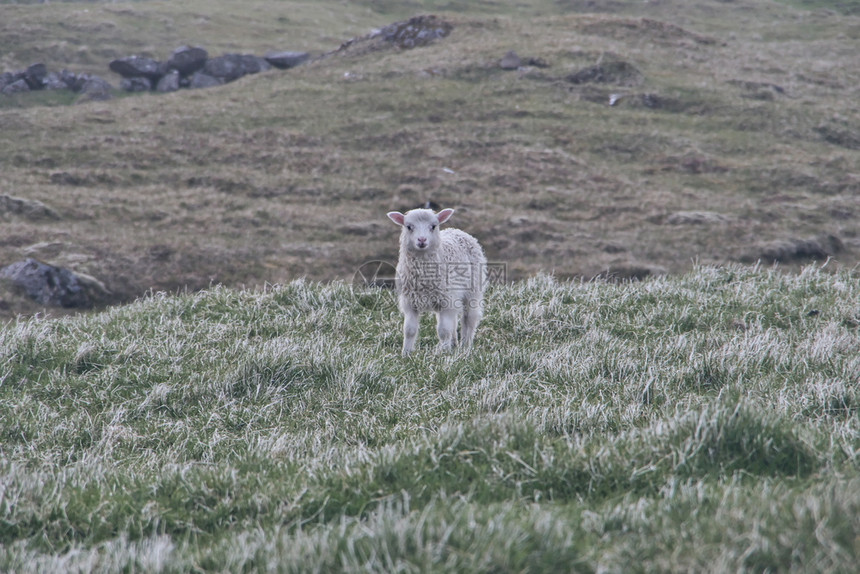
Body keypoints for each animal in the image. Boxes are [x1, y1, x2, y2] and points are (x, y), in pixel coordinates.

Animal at [386, 207, 488, 356]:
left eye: (433, 226)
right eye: (409, 227)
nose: (422, 239)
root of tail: (457, 230)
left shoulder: (446, 300)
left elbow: (443, 331)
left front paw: (444, 353)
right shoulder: (410, 302)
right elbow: (409, 330)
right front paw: (406, 353)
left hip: (473, 289)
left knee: (469, 319)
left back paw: (465, 346)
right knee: (454, 321)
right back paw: (454, 344)